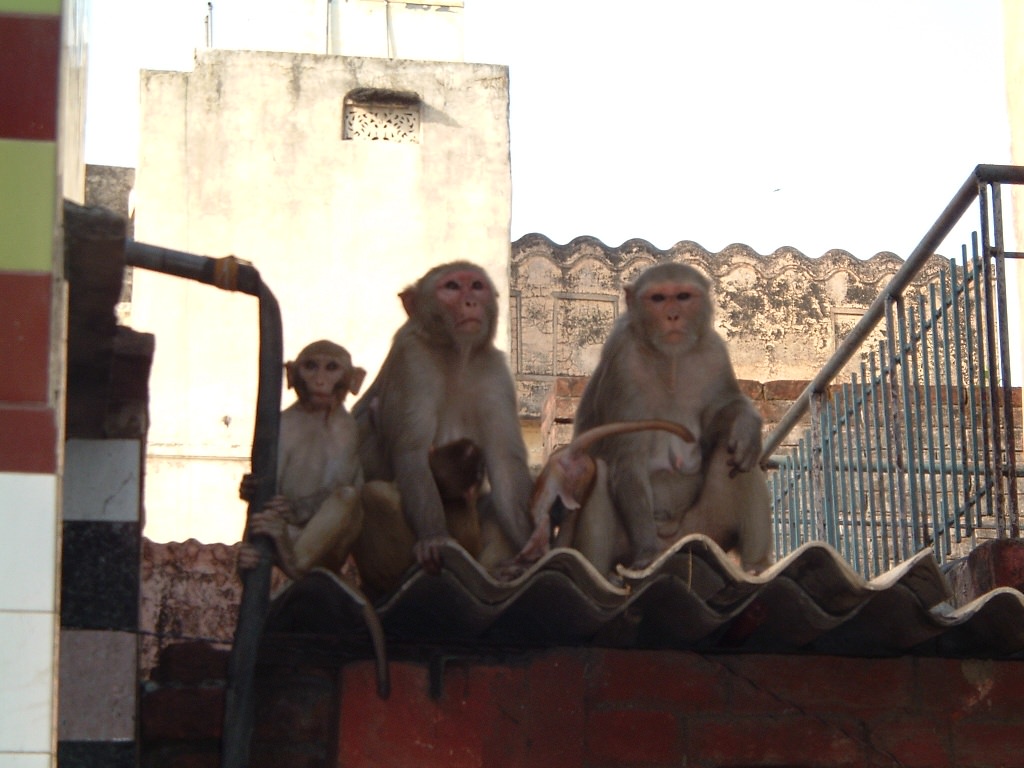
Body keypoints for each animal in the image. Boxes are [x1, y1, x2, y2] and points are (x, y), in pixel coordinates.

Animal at [237, 339, 366, 581]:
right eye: (311, 366)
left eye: (331, 367)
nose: (319, 381)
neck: (316, 414)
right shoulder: (282, 423)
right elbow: (270, 475)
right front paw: (249, 486)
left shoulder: (349, 431)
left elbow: (338, 483)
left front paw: (291, 507)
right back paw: (248, 560)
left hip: (333, 556)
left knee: (346, 495)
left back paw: (293, 560)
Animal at [573, 262, 770, 573]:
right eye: (657, 298)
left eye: (683, 296)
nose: (673, 315)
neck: (670, 358)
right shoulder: (622, 359)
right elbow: (628, 459)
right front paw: (647, 552)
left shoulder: (714, 351)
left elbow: (718, 421)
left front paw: (747, 419)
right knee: (600, 467)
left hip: (705, 529)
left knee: (735, 452)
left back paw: (757, 564)